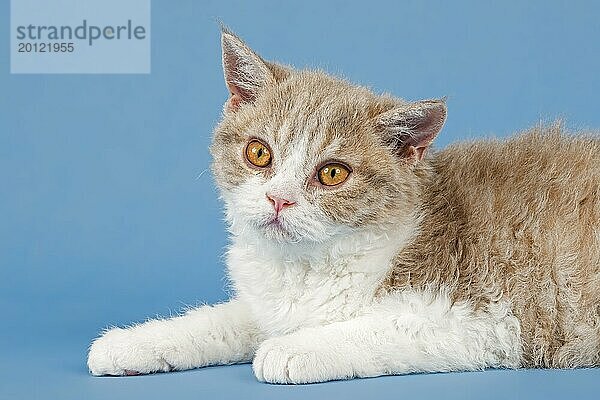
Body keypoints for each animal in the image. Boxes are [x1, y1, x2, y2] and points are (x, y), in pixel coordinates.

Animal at [85, 28, 600, 384]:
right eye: (259, 153)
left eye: (333, 173)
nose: (278, 198)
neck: (308, 267)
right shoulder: (271, 306)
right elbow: (223, 320)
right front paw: (132, 342)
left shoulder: (487, 319)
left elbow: (383, 328)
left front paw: (292, 350)